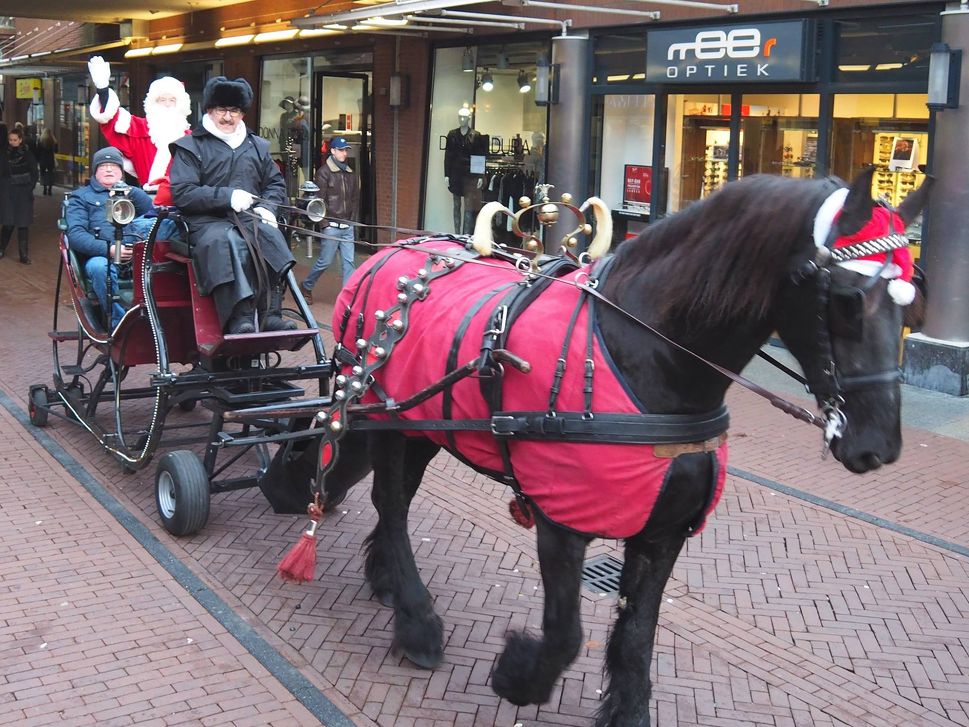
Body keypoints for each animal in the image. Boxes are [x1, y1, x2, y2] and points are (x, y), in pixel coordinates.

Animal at [266, 168, 932, 724]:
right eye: (847, 299)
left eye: (912, 300)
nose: (879, 445)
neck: (645, 352)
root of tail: (389, 254)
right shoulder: (562, 520)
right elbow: (565, 634)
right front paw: (516, 674)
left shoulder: (664, 530)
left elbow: (636, 636)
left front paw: (625, 712)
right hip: (386, 420)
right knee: (392, 502)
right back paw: (417, 624)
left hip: (424, 426)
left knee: (393, 499)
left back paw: (385, 580)